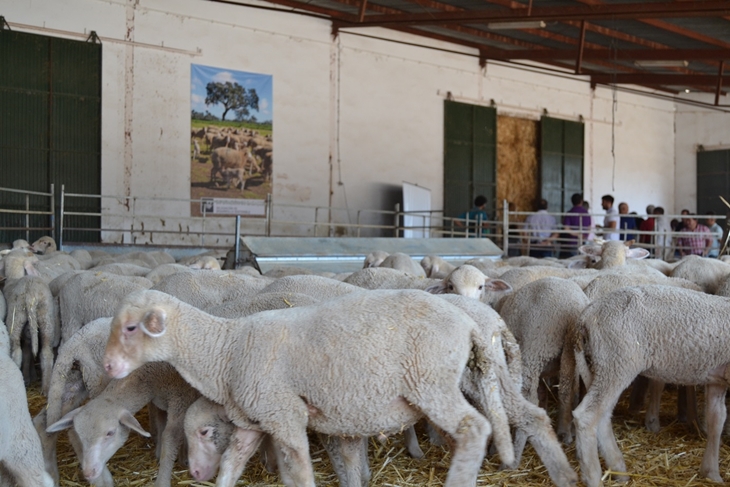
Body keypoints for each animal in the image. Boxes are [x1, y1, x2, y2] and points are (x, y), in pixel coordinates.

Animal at [47, 362, 199, 487]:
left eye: (110, 433)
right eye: (80, 436)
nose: (88, 473)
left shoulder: (181, 399)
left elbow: (170, 438)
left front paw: (162, 481)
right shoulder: (160, 403)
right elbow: (161, 426)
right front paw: (159, 453)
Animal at [102, 290, 512, 487]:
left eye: (131, 328)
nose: (107, 366)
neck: (227, 349)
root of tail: (466, 323)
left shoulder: (285, 415)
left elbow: (299, 473)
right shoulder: (253, 420)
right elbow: (232, 466)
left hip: (431, 382)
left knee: (475, 428)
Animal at [572, 284, 730, 486]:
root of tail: (588, 313)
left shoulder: (717, 380)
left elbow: (716, 420)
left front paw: (711, 473)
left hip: (602, 365)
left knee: (603, 415)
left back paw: (618, 469)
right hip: (618, 361)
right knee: (587, 415)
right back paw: (594, 477)